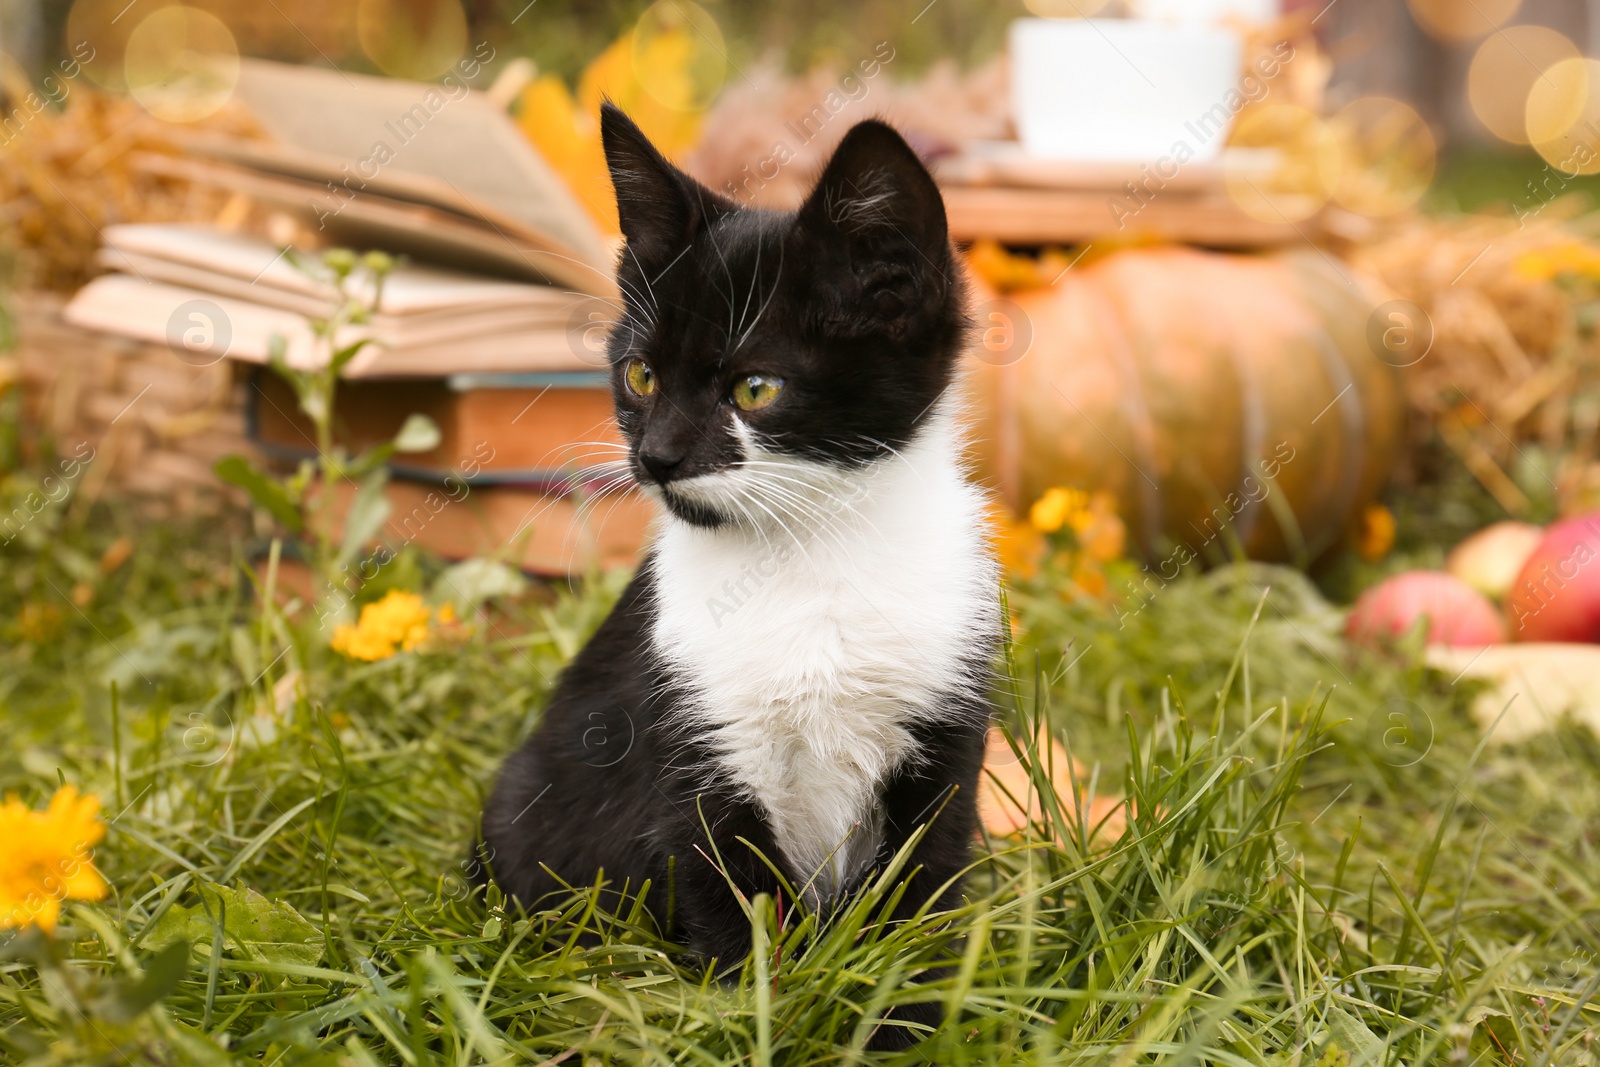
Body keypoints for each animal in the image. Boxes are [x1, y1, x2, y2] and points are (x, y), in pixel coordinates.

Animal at [476, 106, 998, 1043]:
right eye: (640, 374)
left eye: (756, 388)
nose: (655, 457)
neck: (808, 560)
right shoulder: (692, 736)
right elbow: (731, 900)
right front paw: (752, 1018)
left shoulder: (948, 714)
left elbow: (916, 891)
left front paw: (899, 1024)